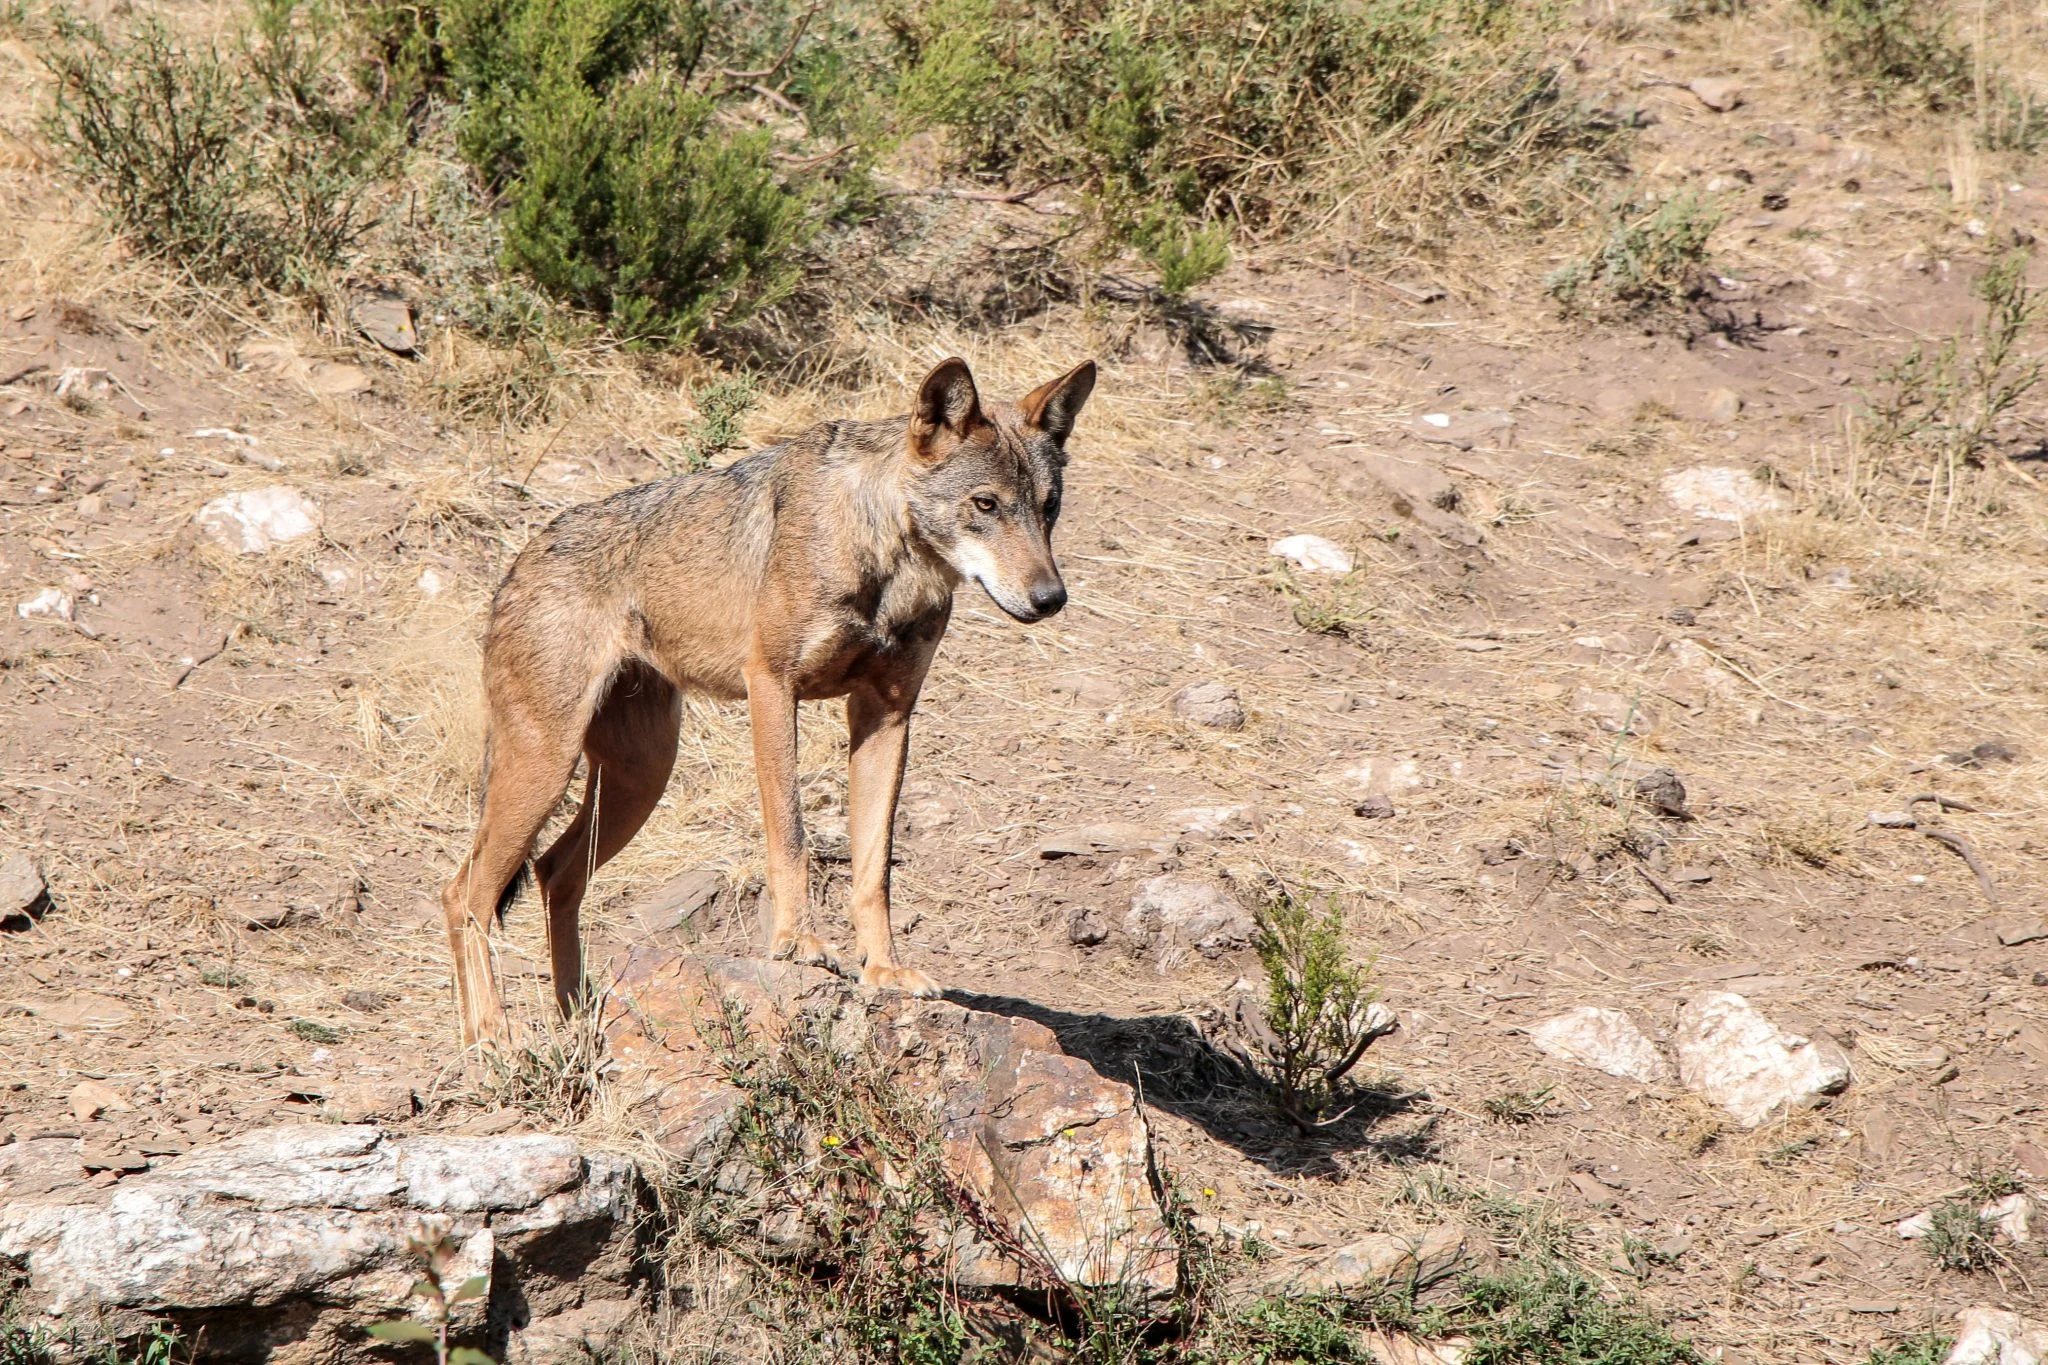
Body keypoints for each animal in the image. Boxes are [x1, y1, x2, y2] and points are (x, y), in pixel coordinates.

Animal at [440, 356, 1096, 1048]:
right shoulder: (773, 688)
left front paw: (884, 971)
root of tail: (518, 560)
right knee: (465, 893)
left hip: (638, 780)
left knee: (552, 875)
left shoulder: (887, 715)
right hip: (548, 767)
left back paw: (578, 1021)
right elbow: (791, 835)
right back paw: (491, 1038)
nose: (1051, 598)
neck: (885, 559)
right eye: (985, 504)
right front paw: (798, 943)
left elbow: (874, 868)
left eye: (1049, 509)